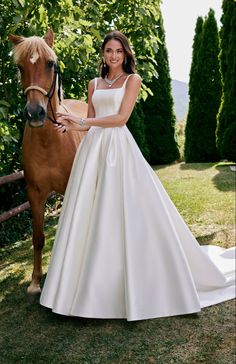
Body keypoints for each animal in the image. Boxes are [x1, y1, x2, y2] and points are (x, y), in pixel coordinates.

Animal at [9, 29, 88, 296]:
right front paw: (35, 281)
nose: (35, 113)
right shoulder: (34, 193)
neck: (49, 141)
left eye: (50, 63)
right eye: (20, 66)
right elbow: (38, 237)